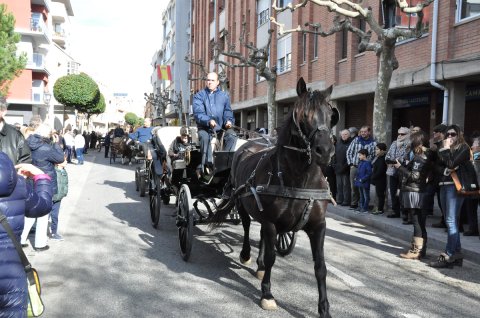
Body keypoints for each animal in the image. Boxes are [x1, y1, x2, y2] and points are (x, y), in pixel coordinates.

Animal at [212, 77, 340, 318]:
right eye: (302, 115)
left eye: (331, 115)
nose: (325, 151)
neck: (300, 180)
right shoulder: (272, 222)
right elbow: (272, 257)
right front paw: (268, 295)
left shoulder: (318, 225)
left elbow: (320, 266)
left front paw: (324, 308)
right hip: (243, 203)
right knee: (246, 227)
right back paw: (246, 255)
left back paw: (260, 266)